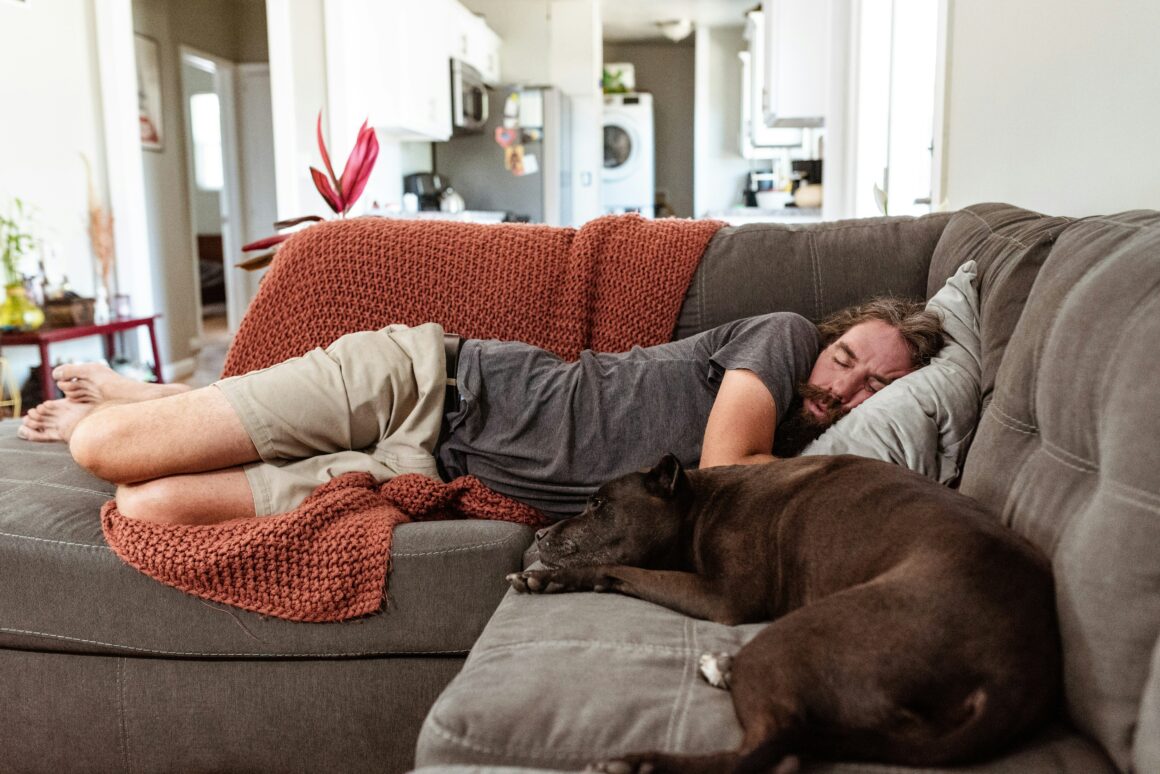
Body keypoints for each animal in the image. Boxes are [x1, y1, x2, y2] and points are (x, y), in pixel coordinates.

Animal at [508, 454, 1062, 774]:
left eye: (598, 505)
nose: (540, 533)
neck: (698, 504)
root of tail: (1013, 675)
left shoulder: (723, 597)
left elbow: (621, 568)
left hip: (795, 636)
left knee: (768, 751)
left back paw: (640, 762)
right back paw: (721, 670)